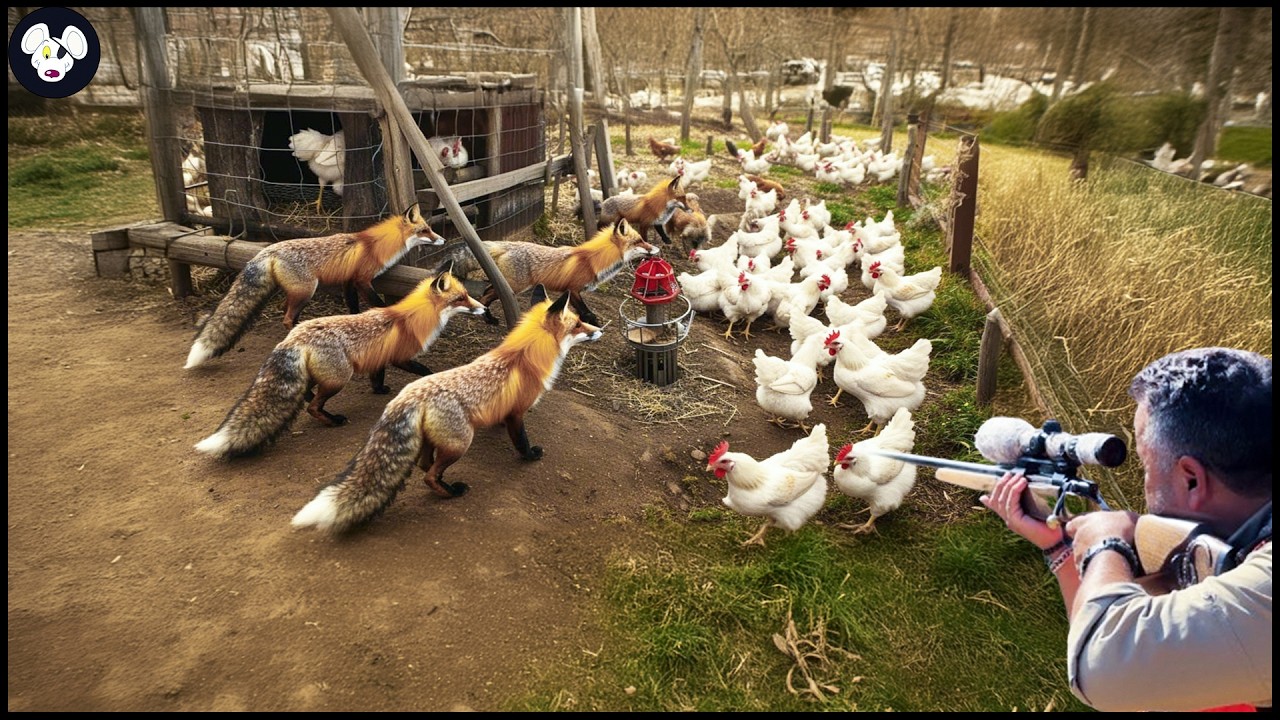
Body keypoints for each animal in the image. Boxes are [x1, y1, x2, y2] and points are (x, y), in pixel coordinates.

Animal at [184, 203, 443, 369]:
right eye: (425, 230)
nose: (442, 239)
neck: (374, 244)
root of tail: (268, 249)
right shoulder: (361, 279)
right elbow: (376, 303)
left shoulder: (348, 281)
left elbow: (353, 307)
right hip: (306, 291)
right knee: (287, 317)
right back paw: (293, 331)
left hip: (297, 293)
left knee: (285, 311)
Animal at [193, 261, 486, 459]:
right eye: (461, 298)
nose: (483, 308)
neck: (412, 318)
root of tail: (294, 337)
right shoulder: (400, 358)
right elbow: (424, 369)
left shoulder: (378, 359)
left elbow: (377, 377)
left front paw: (380, 390)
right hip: (339, 379)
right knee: (314, 407)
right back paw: (331, 420)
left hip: (319, 377)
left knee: (307, 394)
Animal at [290, 289, 603, 534]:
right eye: (578, 324)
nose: (599, 330)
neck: (523, 358)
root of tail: (408, 397)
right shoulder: (517, 413)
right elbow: (521, 440)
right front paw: (530, 456)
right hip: (459, 443)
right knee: (428, 474)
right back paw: (451, 492)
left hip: (436, 441)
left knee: (423, 464)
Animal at [450, 217, 659, 327]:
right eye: (639, 241)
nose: (656, 249)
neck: (592, 260)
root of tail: (510, 244)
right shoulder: (574, 289)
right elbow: (586, 311)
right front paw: (594, 325)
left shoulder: (570, 291)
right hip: (516, 287)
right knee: (486, 297)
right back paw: (489, 318)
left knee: (486, 293)